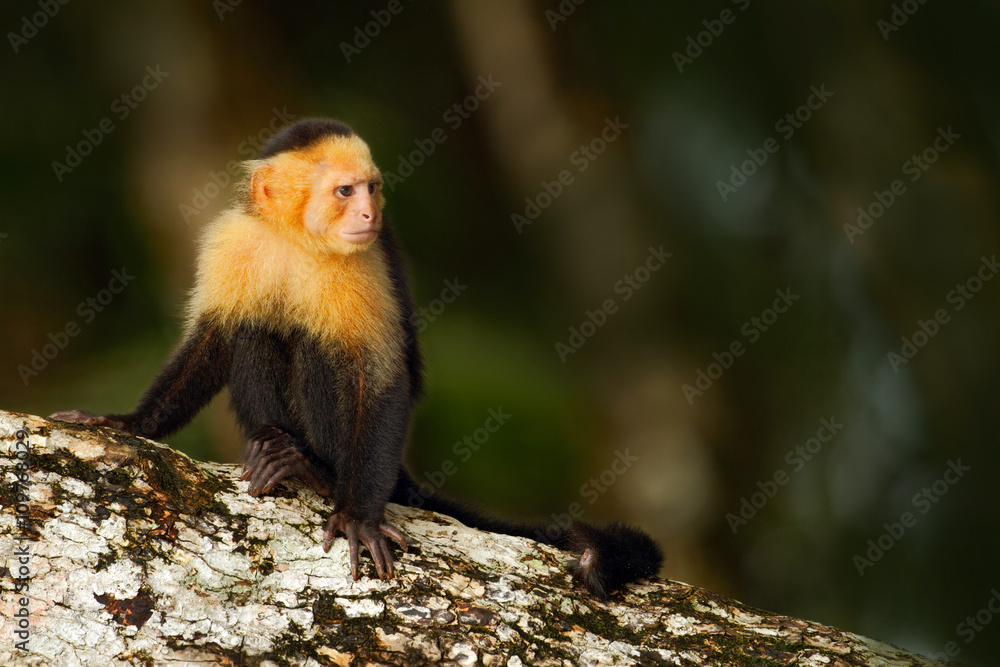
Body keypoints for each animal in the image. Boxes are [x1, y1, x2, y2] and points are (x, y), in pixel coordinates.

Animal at [51, 118, 663, 598]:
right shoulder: (235, 241)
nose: (369, 213)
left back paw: (316, 472)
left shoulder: (363, 266)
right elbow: (215, 337)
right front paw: (127, 423)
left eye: (371, 189)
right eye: (346, 191)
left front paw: (358, 518)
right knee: (257, 328)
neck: (299, 241)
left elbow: (380, 379)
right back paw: (279, 449)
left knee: (320, 347)